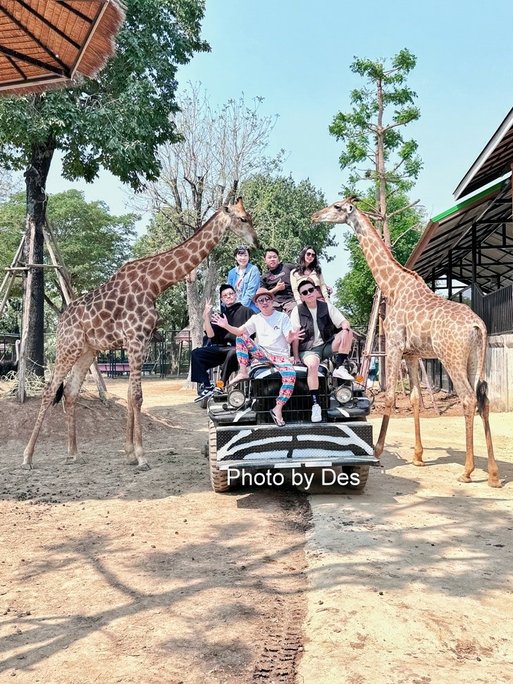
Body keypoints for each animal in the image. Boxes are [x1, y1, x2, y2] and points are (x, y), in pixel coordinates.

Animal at [23, 195, 256, 468]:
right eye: (243, 219)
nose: (256, 242)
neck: (155, 283)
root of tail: (61, 321)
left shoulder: (141, 341)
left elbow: (129, 394)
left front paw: (129, 453)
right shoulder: (135, 338)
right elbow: (136, 395)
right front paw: (142, 456)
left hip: (88, 351)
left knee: (69, 391)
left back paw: (73, 453)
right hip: (68, 346)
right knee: (49, 390)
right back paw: (27, 457)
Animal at [312, 196, 500, 486]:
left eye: (336, 207)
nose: (314, 216)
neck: (393, 286)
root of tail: (478, 325)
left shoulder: (394, 345)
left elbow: (390, 396)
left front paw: (377, 451)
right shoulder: (413, 354)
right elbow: (413, 398)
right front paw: (418, 457)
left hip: (451, 357)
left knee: (468, 398)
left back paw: (467, 471)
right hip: (475, 358)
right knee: (484, 400)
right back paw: (492, 474)